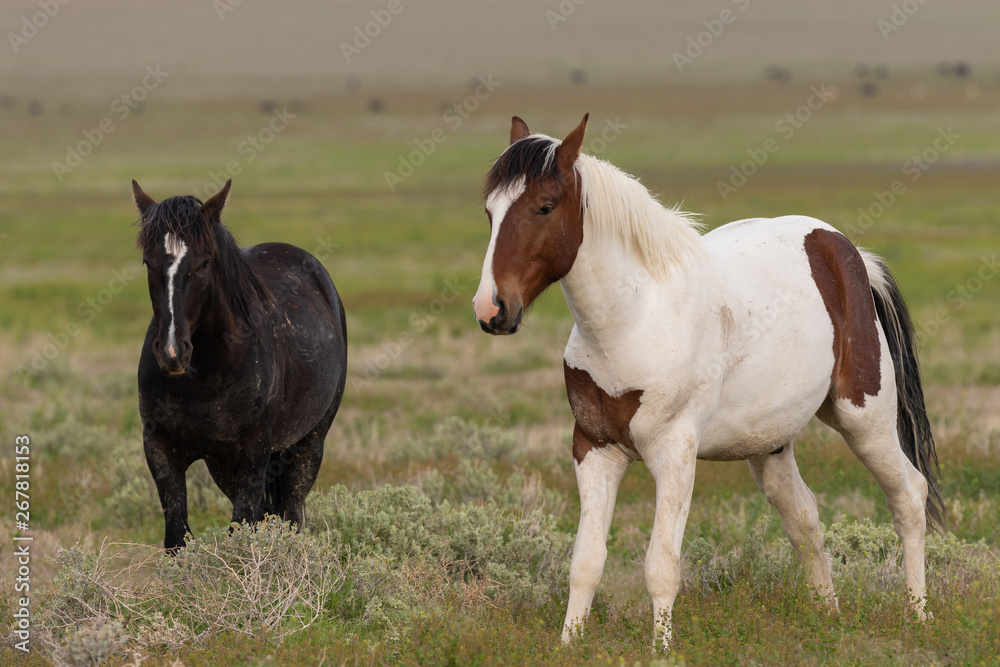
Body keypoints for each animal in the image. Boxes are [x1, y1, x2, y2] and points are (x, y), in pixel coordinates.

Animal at [134, 180, 348, 552]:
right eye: (149, 262)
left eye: (204, 263)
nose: (172, 352)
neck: (204, 378)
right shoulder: (161, 450)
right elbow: (178, 537)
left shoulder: (252, 453)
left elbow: (241, 530)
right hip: (222, 465)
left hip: (309, 444)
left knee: (292, 514)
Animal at [472, 115, 940, 648]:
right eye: (489, 211)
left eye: (544, 207)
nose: (491, 309)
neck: (633, 318)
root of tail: (846, 252)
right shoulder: (594, 448)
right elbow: (585, 563)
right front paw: (568, 644)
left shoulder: (674, 453)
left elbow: (661, 566)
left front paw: (661, 649)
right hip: (770, 445)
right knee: (804, 518)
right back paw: (829, 616)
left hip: (865, 419)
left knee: (909, 496)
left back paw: (918, 614)